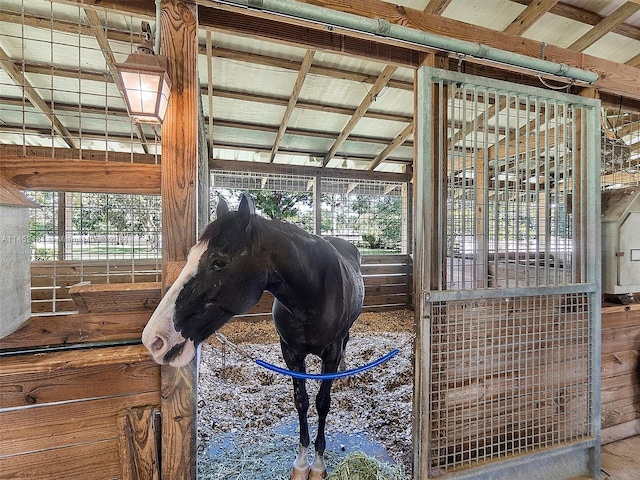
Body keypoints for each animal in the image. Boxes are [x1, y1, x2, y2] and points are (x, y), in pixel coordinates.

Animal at [142, 193, 362, 478]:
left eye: (219, 262)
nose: (155, 339)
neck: (312, 294)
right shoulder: (291, 352)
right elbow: (301, 401)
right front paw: (301, 463)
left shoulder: (331, 351)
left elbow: (323, 403)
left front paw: (318, 465)